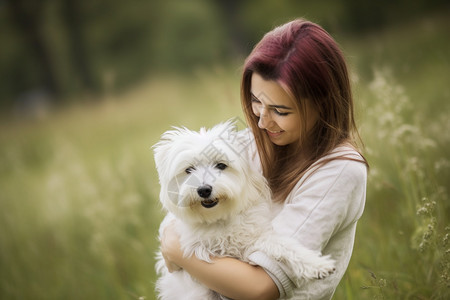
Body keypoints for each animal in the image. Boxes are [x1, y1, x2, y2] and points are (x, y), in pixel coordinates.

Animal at [154, 121, 334, 300]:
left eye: (221, 165)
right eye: (189, 170)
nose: (204, 190)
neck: (219, 218)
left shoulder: (251, 240)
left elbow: (282, 244)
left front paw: (317, 264)